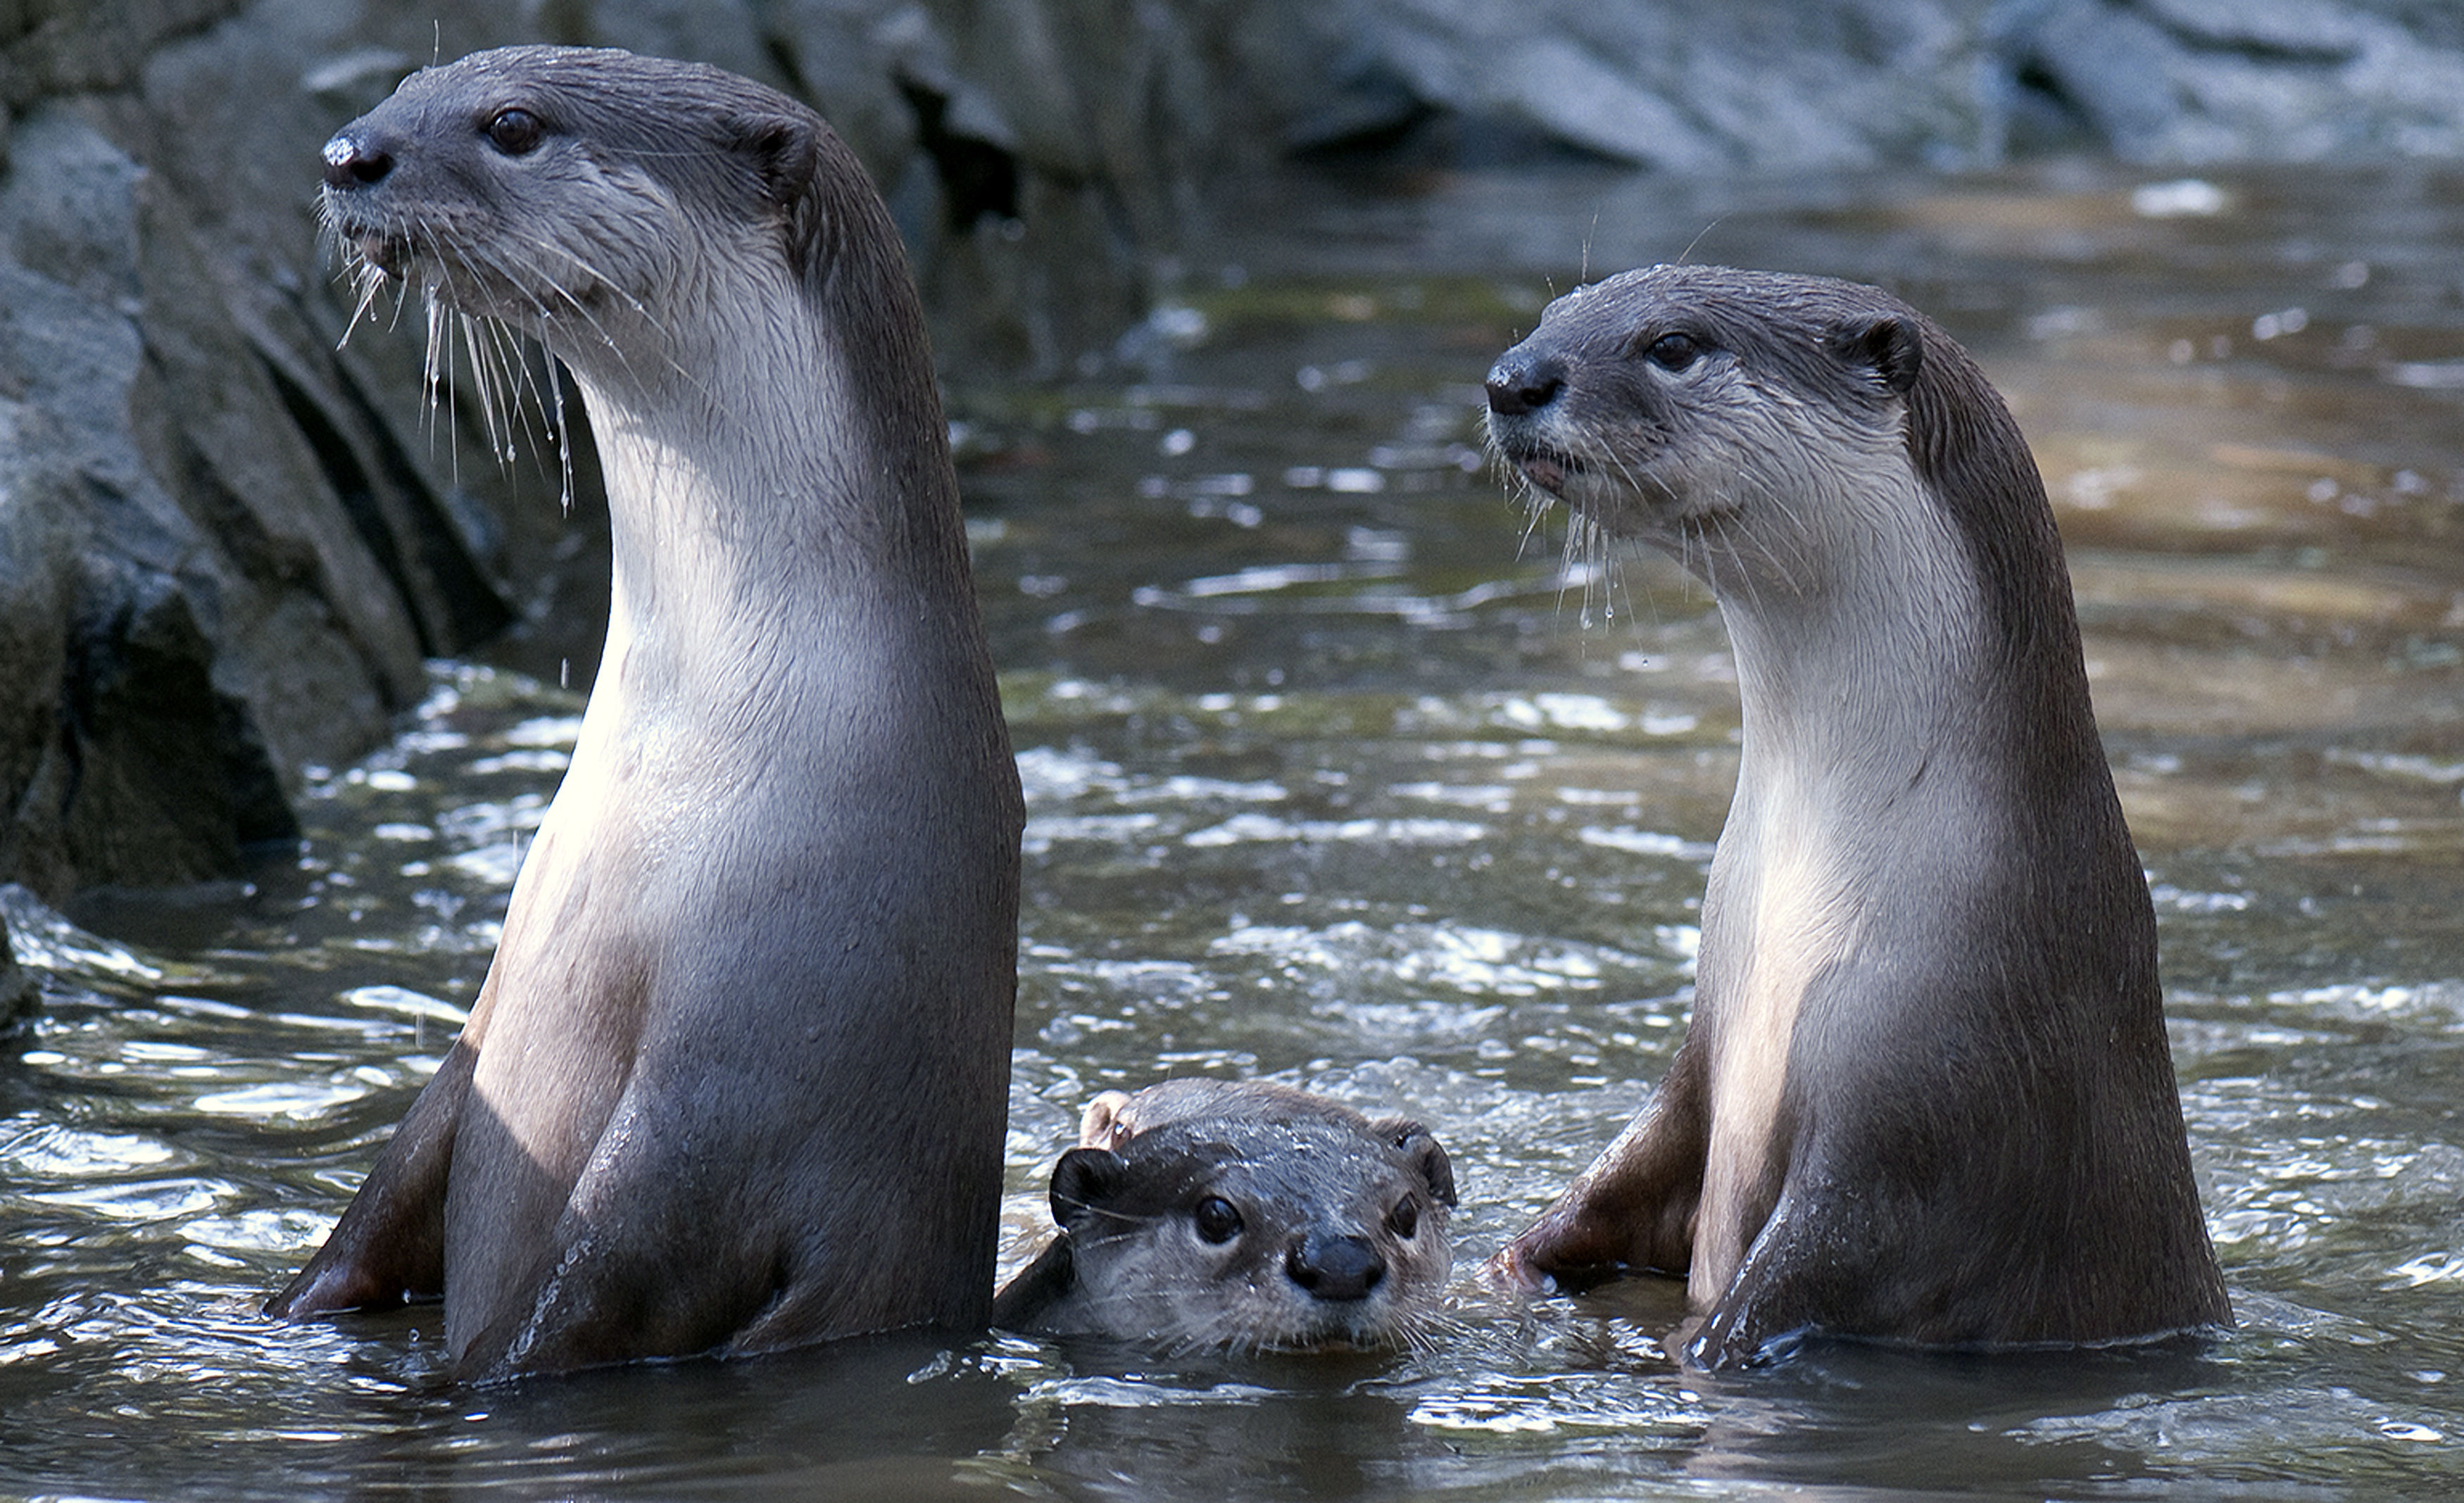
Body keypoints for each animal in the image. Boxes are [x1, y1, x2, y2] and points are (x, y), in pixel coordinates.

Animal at [272, 46, 1030, 1380]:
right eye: (413, 78)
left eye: (514, 125)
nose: (348, 153)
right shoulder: (499, 1003)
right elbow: (399, 1173)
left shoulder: (747, 1065)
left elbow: (605, 1265)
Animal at [1478, 263, 2237, 1360]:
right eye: (1552, 314)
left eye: (1673, 345)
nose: (1513, 378)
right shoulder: (1708, 1042)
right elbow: (1633, 1167)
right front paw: (1504, 1265)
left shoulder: (1929, 1102)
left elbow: (1825, 1253)